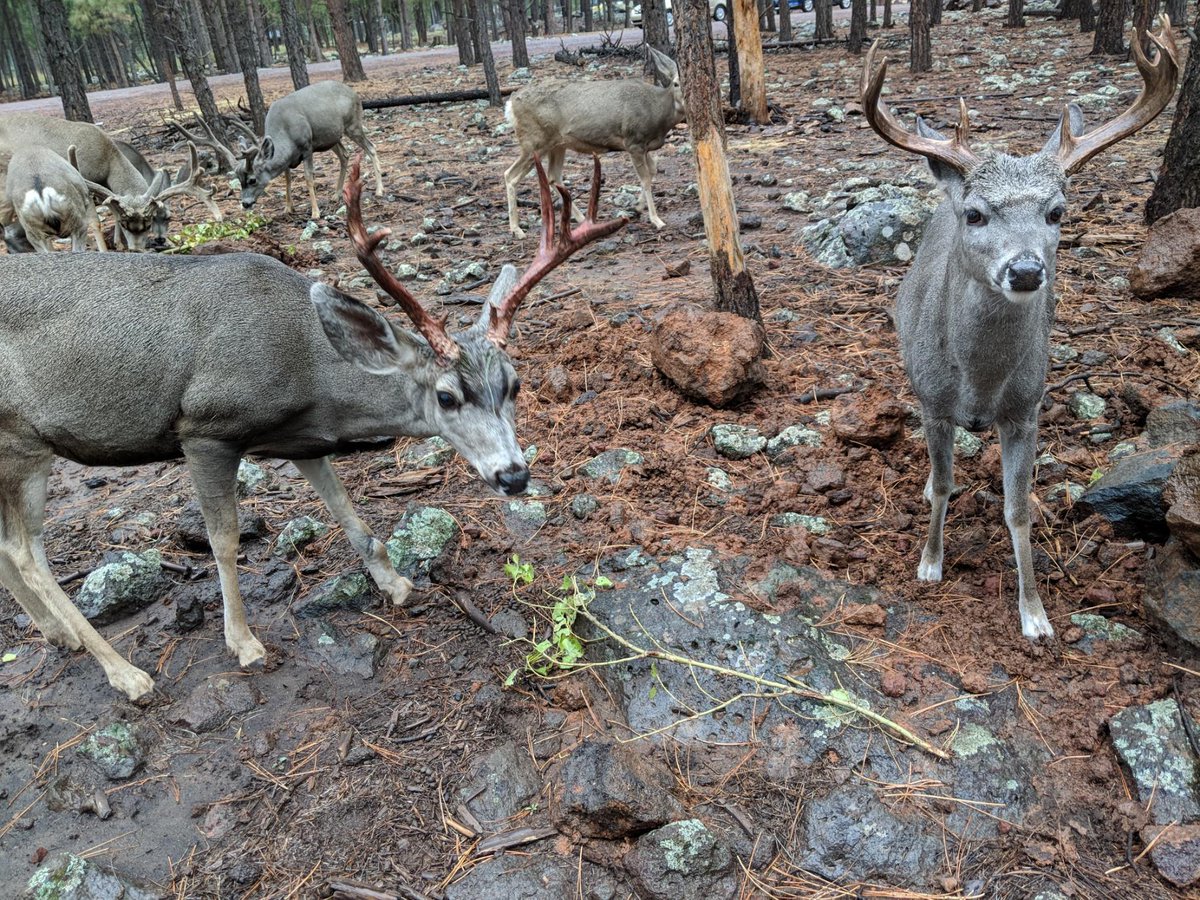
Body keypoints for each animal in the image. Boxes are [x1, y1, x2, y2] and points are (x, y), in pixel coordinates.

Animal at [0, 115, 210, 251]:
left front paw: (118, 244)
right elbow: (96, 221)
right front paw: (106, 249)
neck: (108, 160)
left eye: (167, 217)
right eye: (126, 224)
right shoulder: (84, 183)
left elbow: (112, 207)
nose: (159, 240)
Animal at [0, 154, 626, 701]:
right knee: (29, 551)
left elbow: (348, 510)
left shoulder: (300, 438)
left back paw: (60, 636)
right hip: (22, 440)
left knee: (12, 546)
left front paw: (395, 583)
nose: (514, 475)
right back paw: (123, 672)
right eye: (447, 396)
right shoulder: (205, 427)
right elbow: (224, 542)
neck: (306, 367)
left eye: (515, 384)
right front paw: (243, 641)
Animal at [236, 81, 384, 219]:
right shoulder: (288, 160)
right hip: (331, 137)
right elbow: (287, 179)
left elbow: (308, 178)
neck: (285, 132)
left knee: (371, 147)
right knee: (344, 154)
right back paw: (336, 195)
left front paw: (315, 212)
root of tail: (354, 93)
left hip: (353, 125)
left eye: (252, 180)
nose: (245, 203)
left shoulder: (307, 147)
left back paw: (379, 190)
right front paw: (288, 208)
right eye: (239, 179)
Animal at [504, 45, 685, 238]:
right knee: (510, 175)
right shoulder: (633, 142)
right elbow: (645, 179)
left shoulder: (645, 146)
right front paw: (656, 219)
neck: (657, 114)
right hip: (534, 141)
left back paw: (582, 218)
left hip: (557, 144)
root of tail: (510, 104)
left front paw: (637, 207)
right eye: (675, 83)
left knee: (553, 176)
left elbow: (652, 170)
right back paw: (516, 229)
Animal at [860, 19, 1179, 641]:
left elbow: (1019, 509)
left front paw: (1035, 614)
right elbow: (942, 486)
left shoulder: (1028, 408)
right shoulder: (933, 400)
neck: (979, 385)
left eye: (1057, 212)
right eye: (977, 213)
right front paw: (929, 563)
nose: (1027, 270)